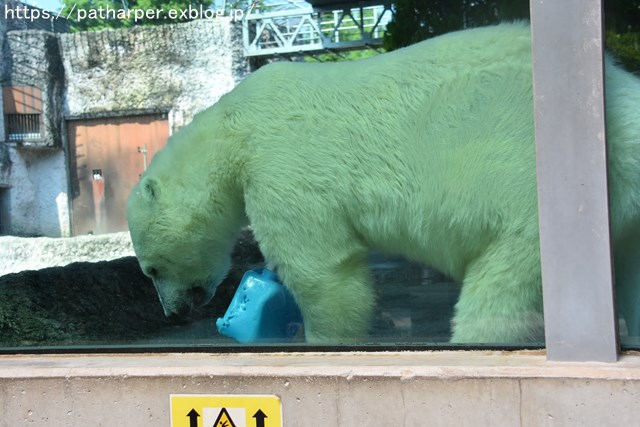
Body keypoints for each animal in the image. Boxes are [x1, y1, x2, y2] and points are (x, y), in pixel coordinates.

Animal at [126, 22, 640, 344]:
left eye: (150, 269)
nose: (174, 312)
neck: (231, 130)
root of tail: (616, 87)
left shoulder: (281, 163)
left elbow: (322, 269)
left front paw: (320, 337)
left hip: (522, 182)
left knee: (504, 283)